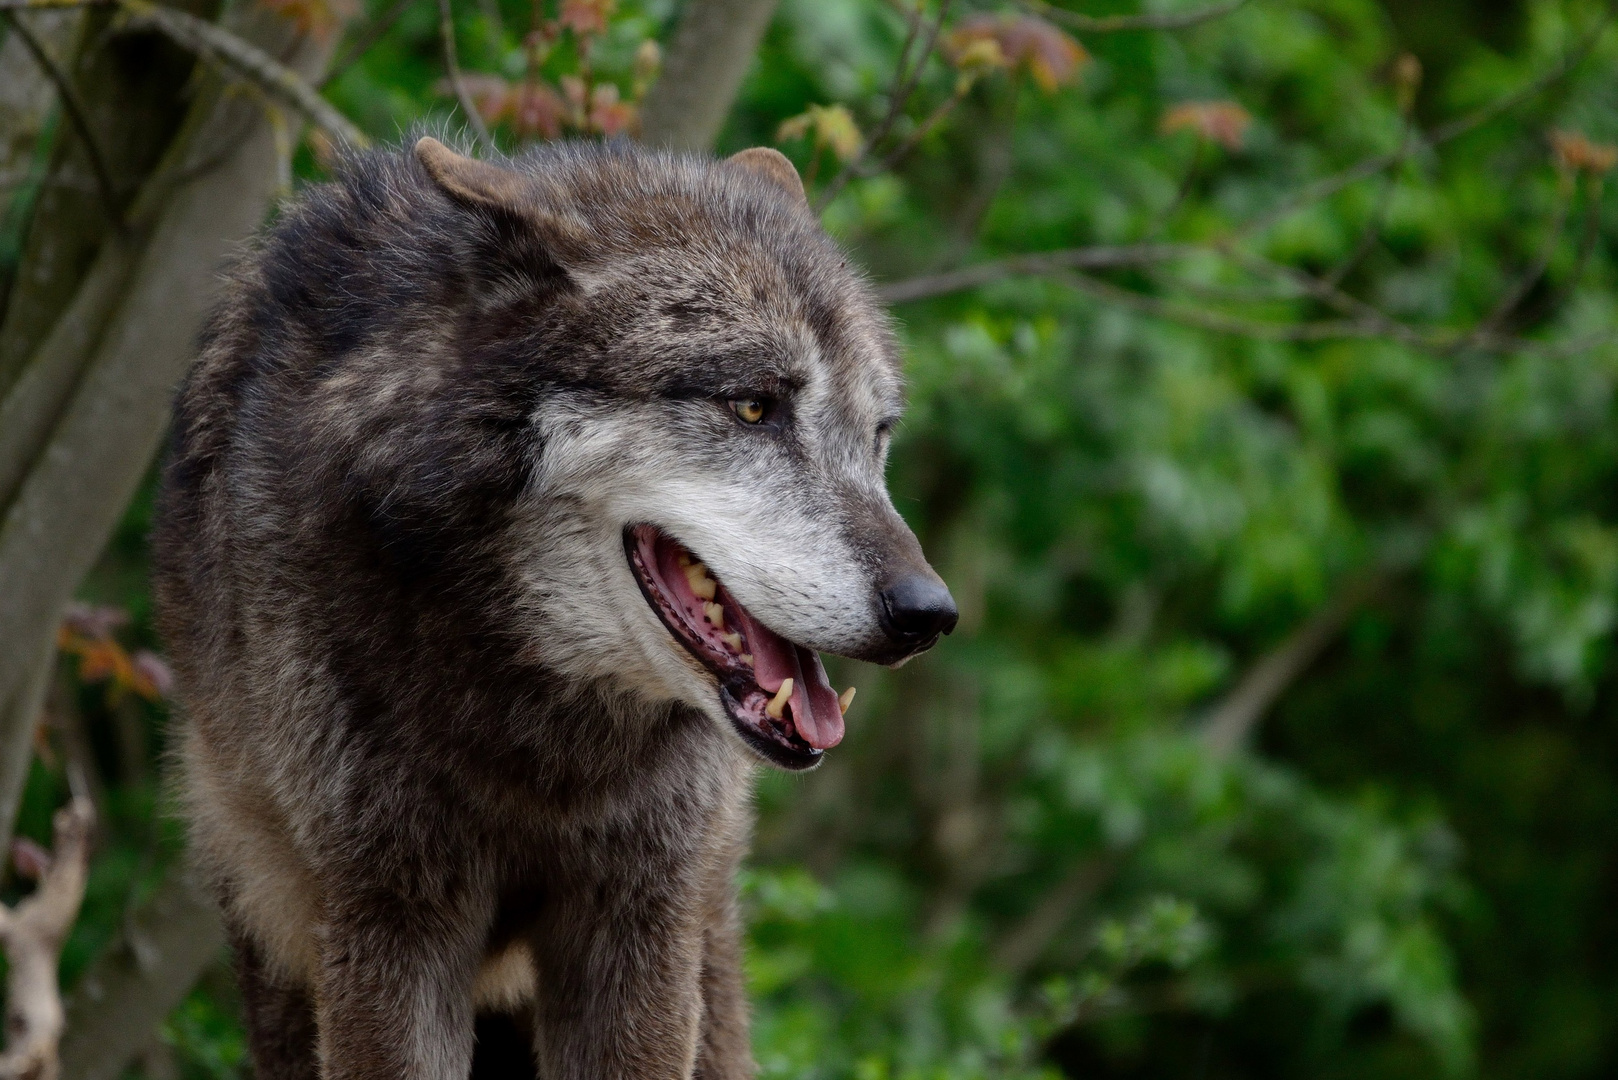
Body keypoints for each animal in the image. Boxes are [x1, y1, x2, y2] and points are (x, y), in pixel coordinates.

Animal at [152, 137, 951, 1080]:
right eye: (754, 404)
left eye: (878, 435)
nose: (929, 613)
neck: (539, 742)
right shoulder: (390, 924)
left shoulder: (640, 921)